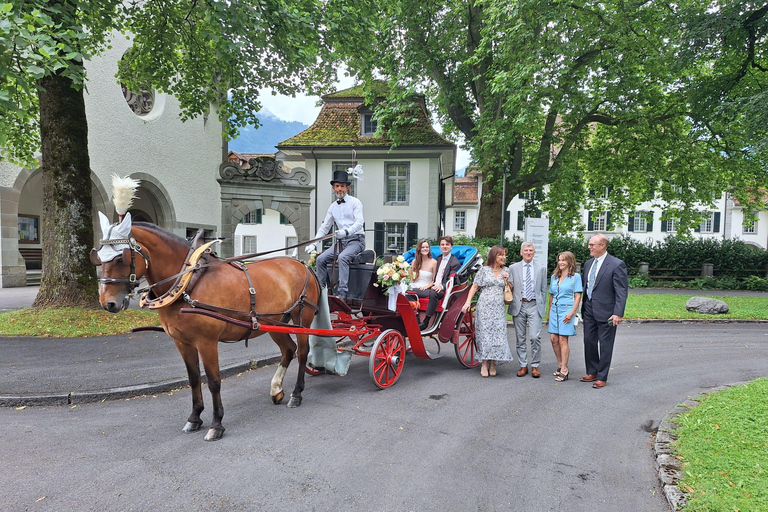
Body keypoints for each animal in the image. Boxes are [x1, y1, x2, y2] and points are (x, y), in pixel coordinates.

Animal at [91, 214, 320, 442]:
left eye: (121, 258)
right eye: (98, 256)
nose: (107, 303)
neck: (188, 281)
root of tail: (302, 265)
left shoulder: (206, 342)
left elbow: (213, 380)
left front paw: (216, 424)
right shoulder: (182, 342)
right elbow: (193, 379)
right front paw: (194, 418)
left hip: (302, 318)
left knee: (302, 352)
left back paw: (296, 394)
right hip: (273, 323)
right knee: (288, 350)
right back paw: (276, 389)